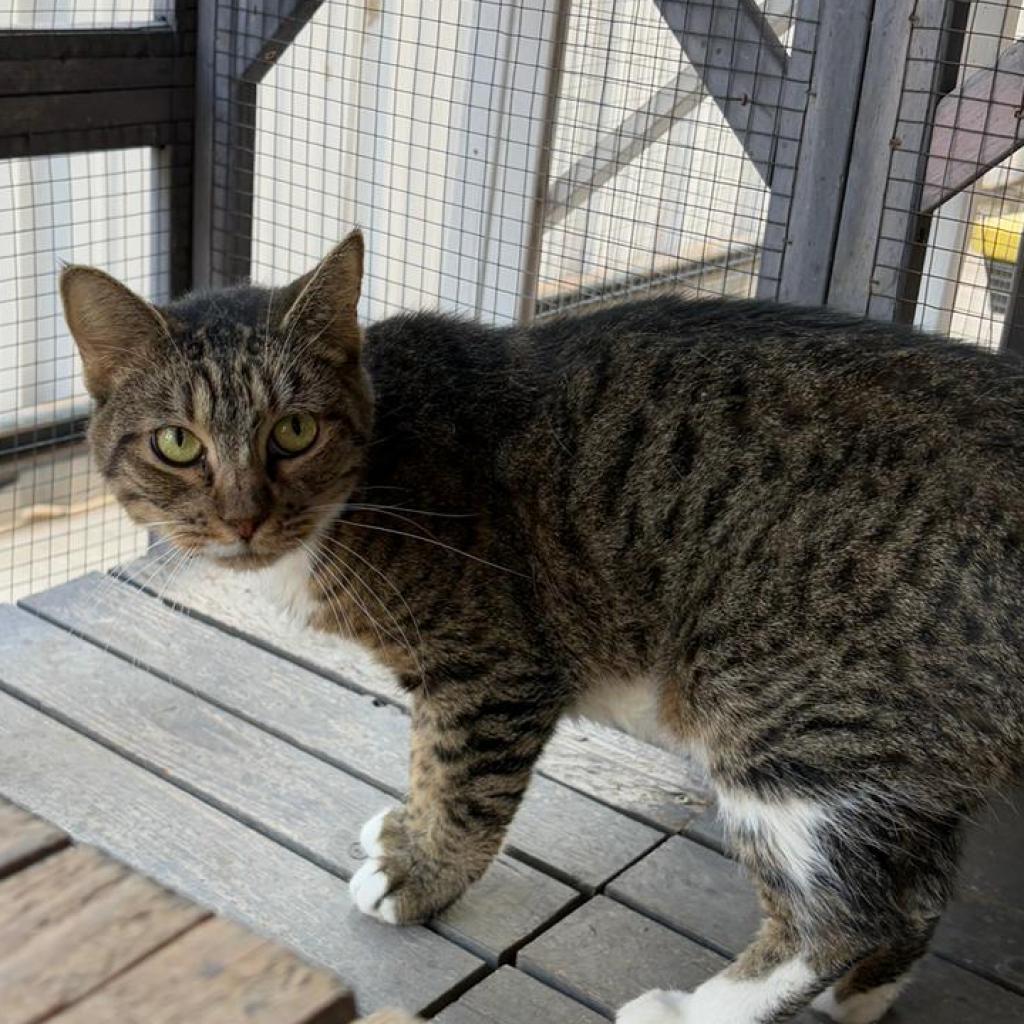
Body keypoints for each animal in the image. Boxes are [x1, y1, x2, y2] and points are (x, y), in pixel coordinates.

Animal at [61, 232, 1024, 1024]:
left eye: (293, 430)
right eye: (177, 444)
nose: (243, 519)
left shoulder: (491, 670)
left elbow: (462, 785)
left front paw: (420, 878)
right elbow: (426, 764)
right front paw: (407, 831)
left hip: (786, 711)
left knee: (848, 916)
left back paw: (695, 1012)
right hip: (908, 750)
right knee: (918, 892)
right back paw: (862, 999)